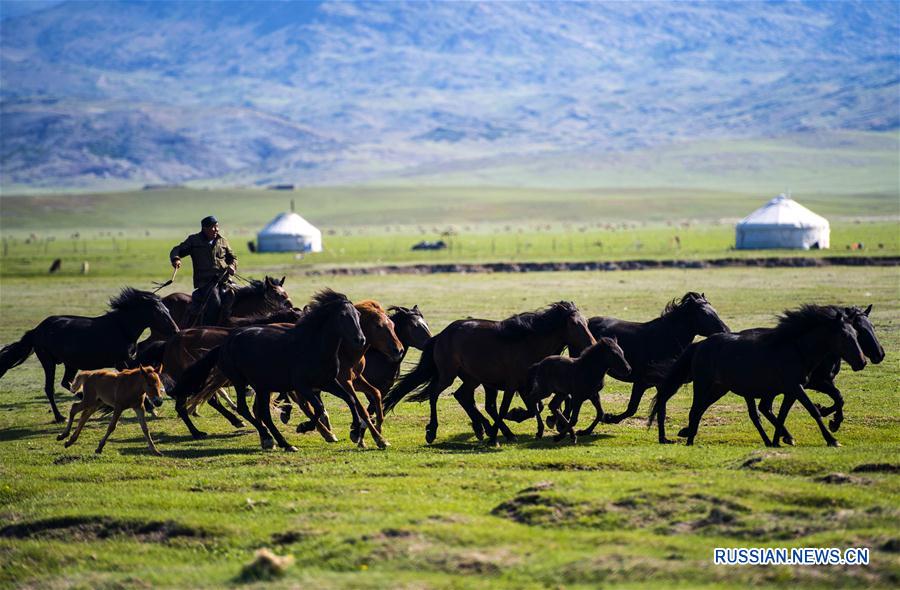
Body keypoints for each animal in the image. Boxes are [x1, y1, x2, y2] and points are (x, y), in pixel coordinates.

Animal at [0, 290, 178, 424]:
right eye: (159, 312)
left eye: (168, 310)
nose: (175, 330)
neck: (121, 328)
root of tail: (36, 330)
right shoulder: (121, 362)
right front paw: (151, 408)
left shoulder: (127, 360)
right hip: (48, 362)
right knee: (49, 388)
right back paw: (60, 417)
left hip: (70, 364)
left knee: (67, 383)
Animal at [169, 292, 366, 454]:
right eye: (343, 316)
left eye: (358, 315)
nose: (360, 339)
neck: (313, 346)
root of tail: (224, 344)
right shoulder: (302, 386)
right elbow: (318, 407)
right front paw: (304, 427)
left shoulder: (328, 382)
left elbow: (350, 399)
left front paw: (355, 431)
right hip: (240, 382)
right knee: (244, 409)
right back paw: (266, 438)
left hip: (262, 387)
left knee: (263, 413)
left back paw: (282, 443)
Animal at [384, 302, 596, 446]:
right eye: (575, 324)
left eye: (586, 322)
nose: (592, 344)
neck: (528, 344)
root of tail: (440, 336)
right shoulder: (512, 385)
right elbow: (505, 409)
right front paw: (498, 434)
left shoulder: (524, 385)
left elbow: (534, 407)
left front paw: (519, 421)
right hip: (448, 374)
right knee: (435, 394)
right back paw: (432, 431)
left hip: (472, 378)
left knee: (462, 396)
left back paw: (481, 428)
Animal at [576, 294, 732, 438]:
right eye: (705, 314)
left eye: (715, 311)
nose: (726, 331)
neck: (663, 338)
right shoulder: (641, 382)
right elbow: (633, 408)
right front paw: (609, 418)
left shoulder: (661, 384)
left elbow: (660, 411)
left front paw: (664, 438)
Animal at [652, 306, 868, 448]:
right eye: (844, 336)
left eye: (856, 334)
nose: (861, 362)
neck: (797, 350)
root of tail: (700, 345)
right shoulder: (795, 387)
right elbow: (812, 410)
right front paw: (832, 438)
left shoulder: (791, 390)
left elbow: (781, 415)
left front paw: (778, 441)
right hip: (703, 384)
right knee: (695, 410)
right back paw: (689, 440)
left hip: (719, 388)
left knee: (702, 410)